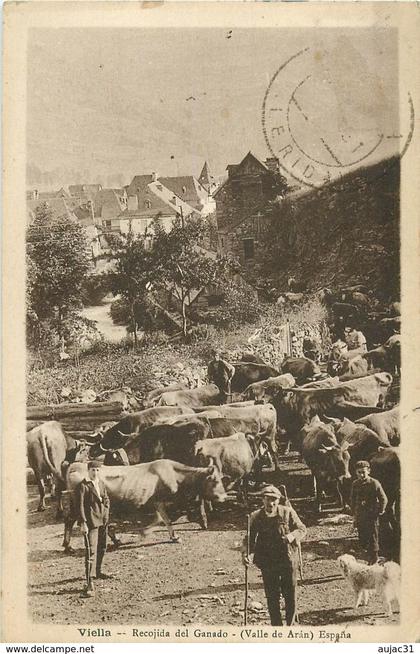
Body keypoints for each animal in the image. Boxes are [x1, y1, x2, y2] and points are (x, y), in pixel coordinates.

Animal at [62, 462, 226, 552]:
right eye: (215, 481)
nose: (224, 497)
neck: (175, 475)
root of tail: (76, 465)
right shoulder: (159, 502)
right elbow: (165, 520)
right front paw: (170, 536)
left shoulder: (154, 503)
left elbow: (160, 519)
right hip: (80, 505)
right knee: (71, 520)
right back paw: (68, 546)